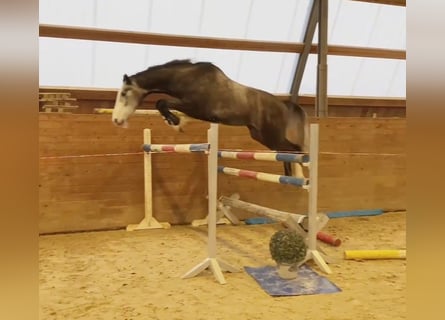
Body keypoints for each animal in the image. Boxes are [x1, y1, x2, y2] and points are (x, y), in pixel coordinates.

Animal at [110, 58, 308, 176]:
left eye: (124, 93)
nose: (116, 120)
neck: (188, 78)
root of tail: (284, 105)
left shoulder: (195, 107)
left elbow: (161, 102)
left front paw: (174, 122)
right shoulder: (194, 109)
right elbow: (165, 105)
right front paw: (176, 123)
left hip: (271, 135)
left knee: (294, 148)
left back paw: (303, 167)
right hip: (261, 136)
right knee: (285, 151)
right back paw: (290, 174)